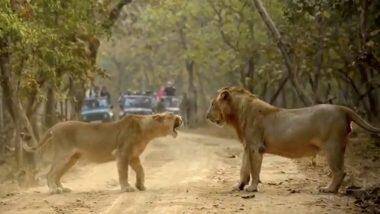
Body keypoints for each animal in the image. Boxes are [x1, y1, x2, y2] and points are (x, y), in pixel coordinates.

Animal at [23, 113, 183, 194]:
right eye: (171, 116)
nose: (180, 117)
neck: (148, 130)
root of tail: (54, 127)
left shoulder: (133, 156)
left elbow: (141, 171)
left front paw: (140, 186)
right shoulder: (122, 153)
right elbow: (123, 173)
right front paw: (127, 188)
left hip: (72, 159)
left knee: (57, 174)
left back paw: (63, 188)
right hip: (63, 155)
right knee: (50, 173)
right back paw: (53, 190)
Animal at [208, 86, 380, 193]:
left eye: (212, 104)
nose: (207, 116)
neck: (237, 114)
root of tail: (342, 108)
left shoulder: (256, 147)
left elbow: (254, 169)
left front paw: (252, 188)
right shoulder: (247, 146)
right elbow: (243, 169)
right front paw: (239, 186)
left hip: (333, 147)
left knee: (339, 172)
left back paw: (328, 190)